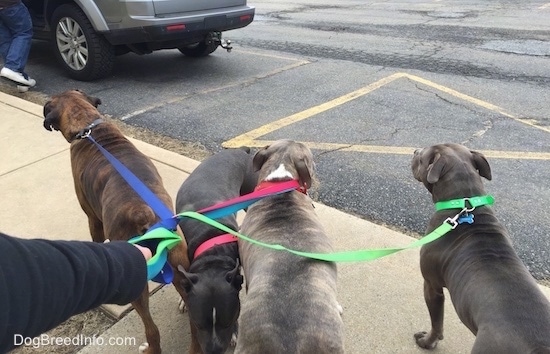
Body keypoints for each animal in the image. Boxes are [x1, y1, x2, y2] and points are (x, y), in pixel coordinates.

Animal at [42, 89, 192, 354]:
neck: (88, 127)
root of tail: (144, 213)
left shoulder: (94, 220)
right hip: (179, 268)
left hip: (137, 284)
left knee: (152, 330)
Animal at [412, 142, 550, 352]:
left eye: (422, 157)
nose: (414, 151)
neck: (465, 202)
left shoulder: (431, 285)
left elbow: (437, 322)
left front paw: (428, 342)